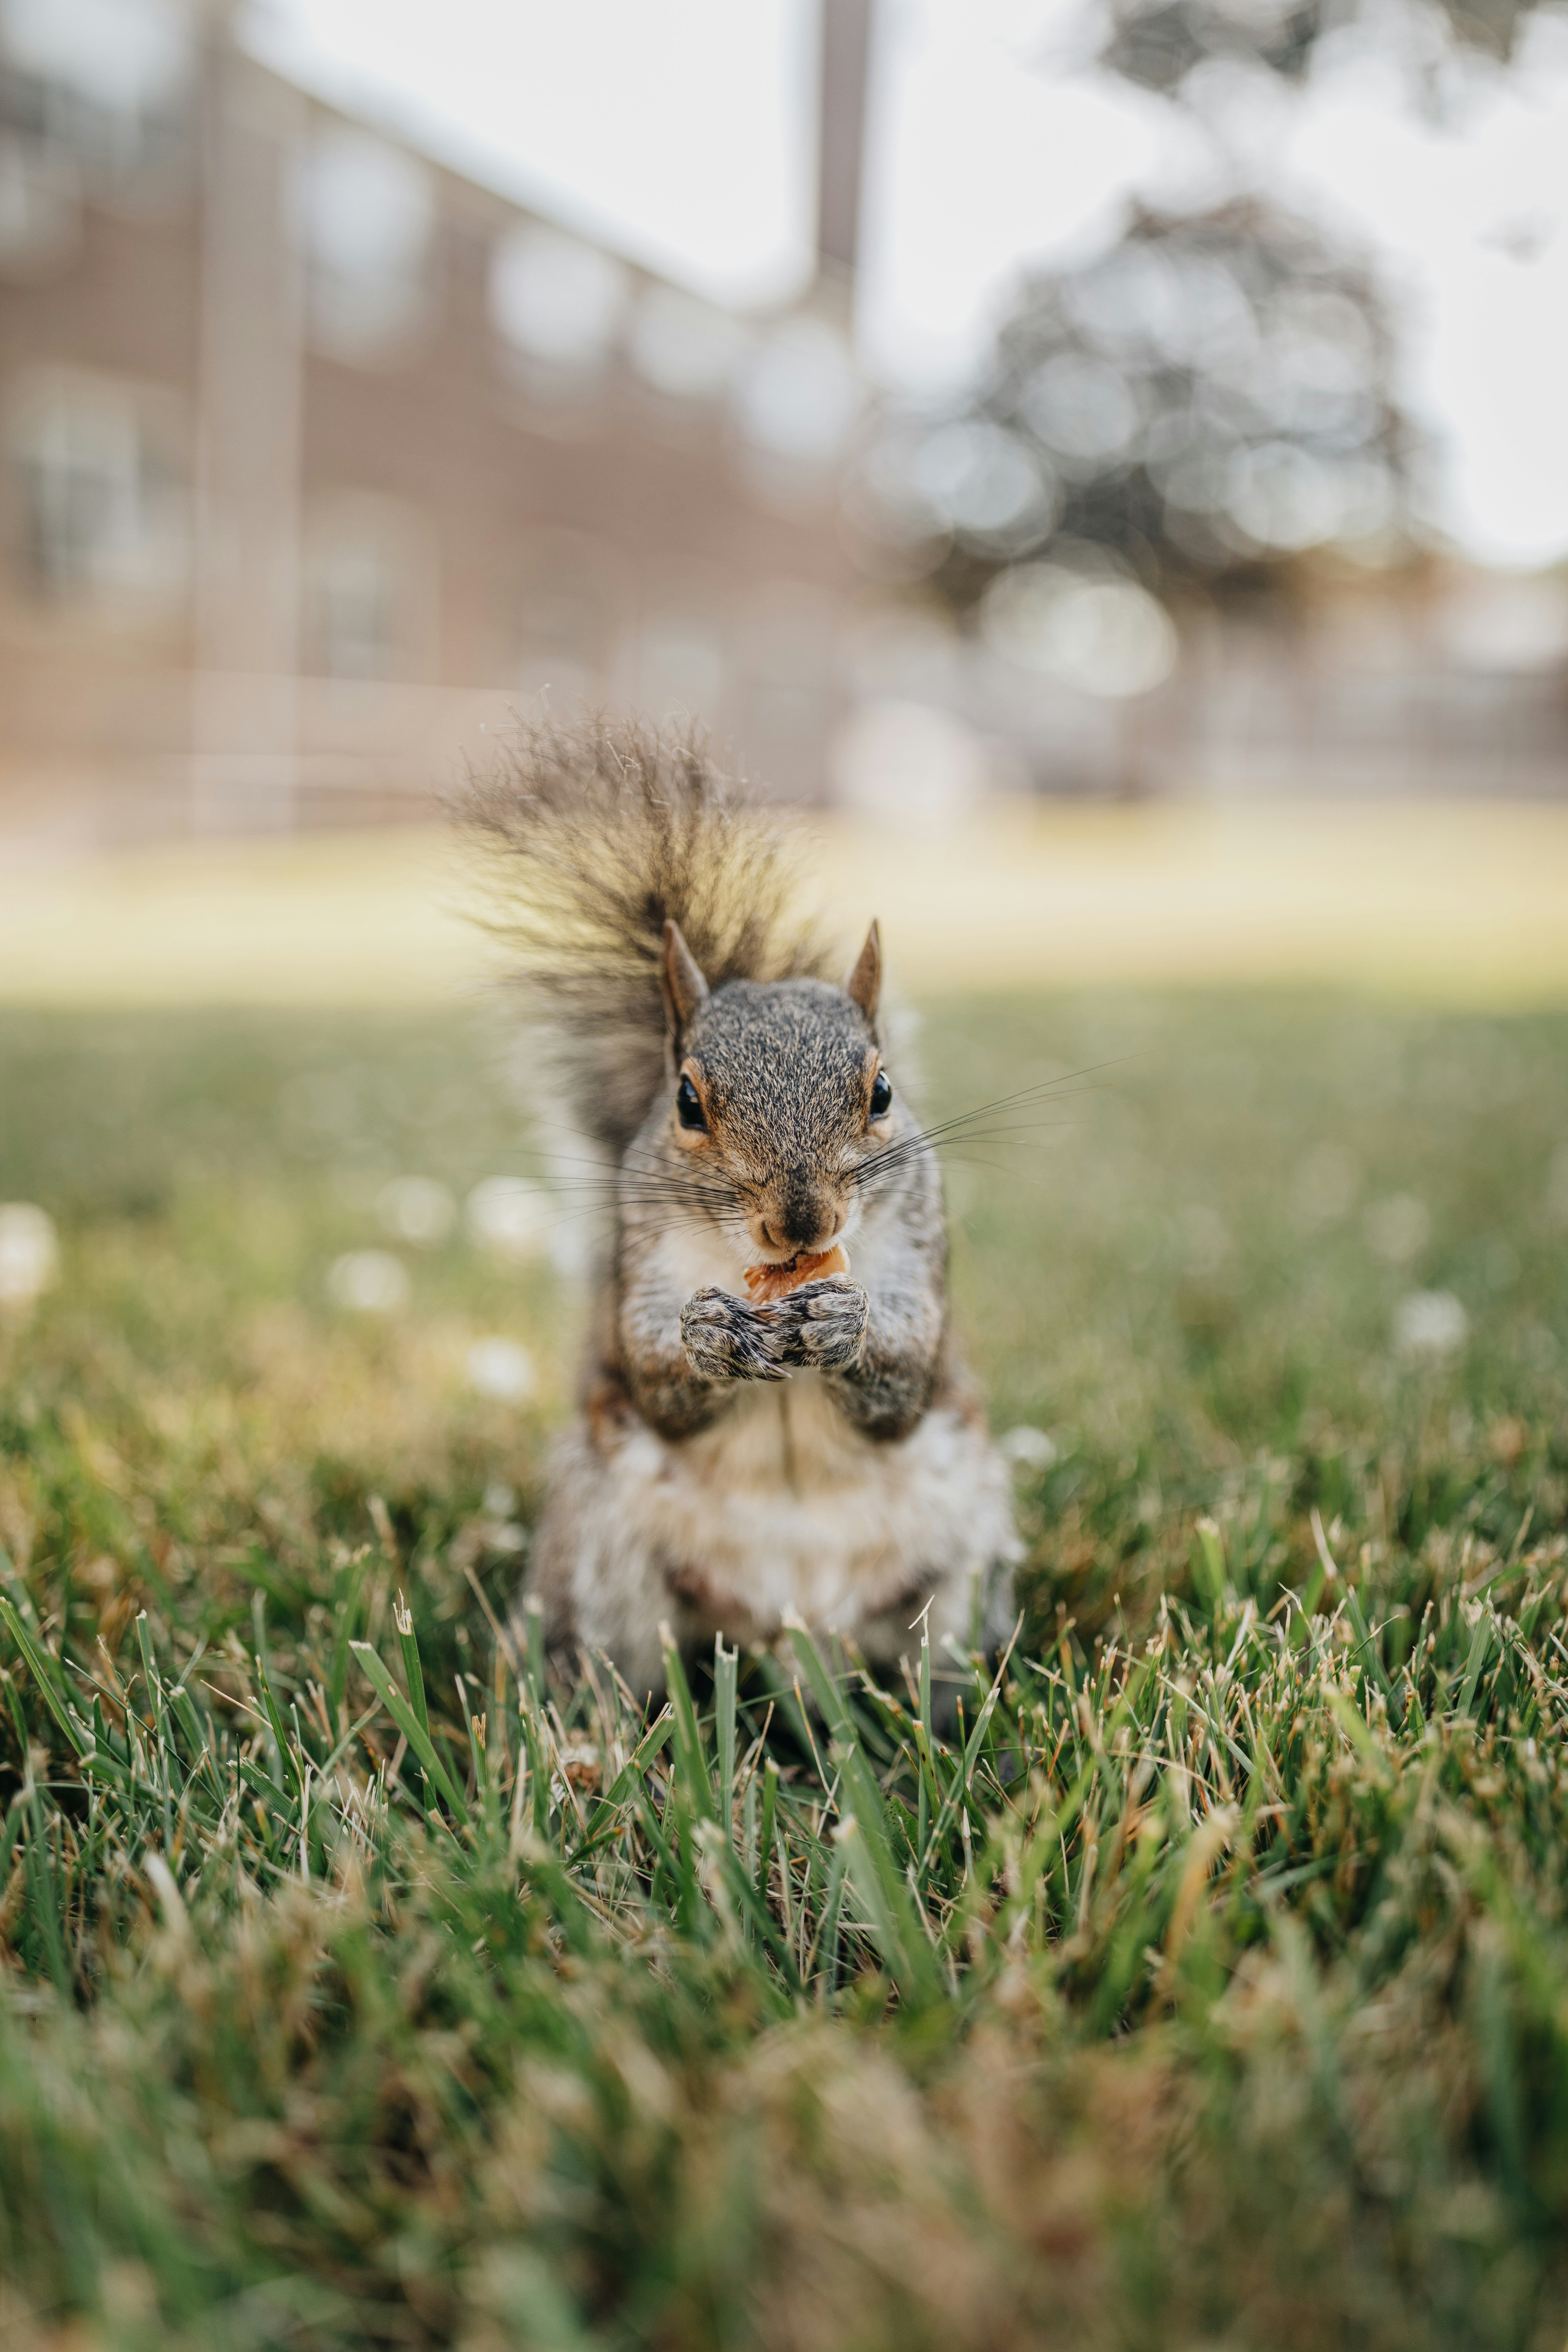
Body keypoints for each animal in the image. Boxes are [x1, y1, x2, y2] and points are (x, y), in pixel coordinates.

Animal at [463, 715, 1020, 1712]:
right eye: (687, 1102)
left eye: (882, 1090)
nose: (801, 1225)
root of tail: (793, 1633)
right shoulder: (640, 1259)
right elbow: (657, 1379)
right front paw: (707, 1336)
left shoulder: (922, 1249)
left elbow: (906, 1378)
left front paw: (844, 1323)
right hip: (601, 1558)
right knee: (604, 1663)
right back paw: (583, 1736)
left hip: (960, 1565)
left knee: (938, 1657)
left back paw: (955, 1721)